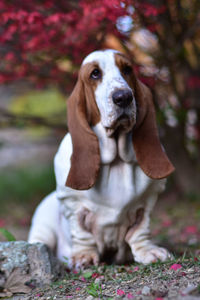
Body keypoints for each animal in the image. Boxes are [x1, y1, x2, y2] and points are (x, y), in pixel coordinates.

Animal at [27, 48, 174, 268]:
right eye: (95, 74)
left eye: (127, 69)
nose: (123, 97)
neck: (116, 160)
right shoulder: (72, 204)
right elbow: (81, 233)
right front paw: (84, 256)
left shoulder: (148, 201)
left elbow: (141, 229)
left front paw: (149, 251)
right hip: (43, 225)